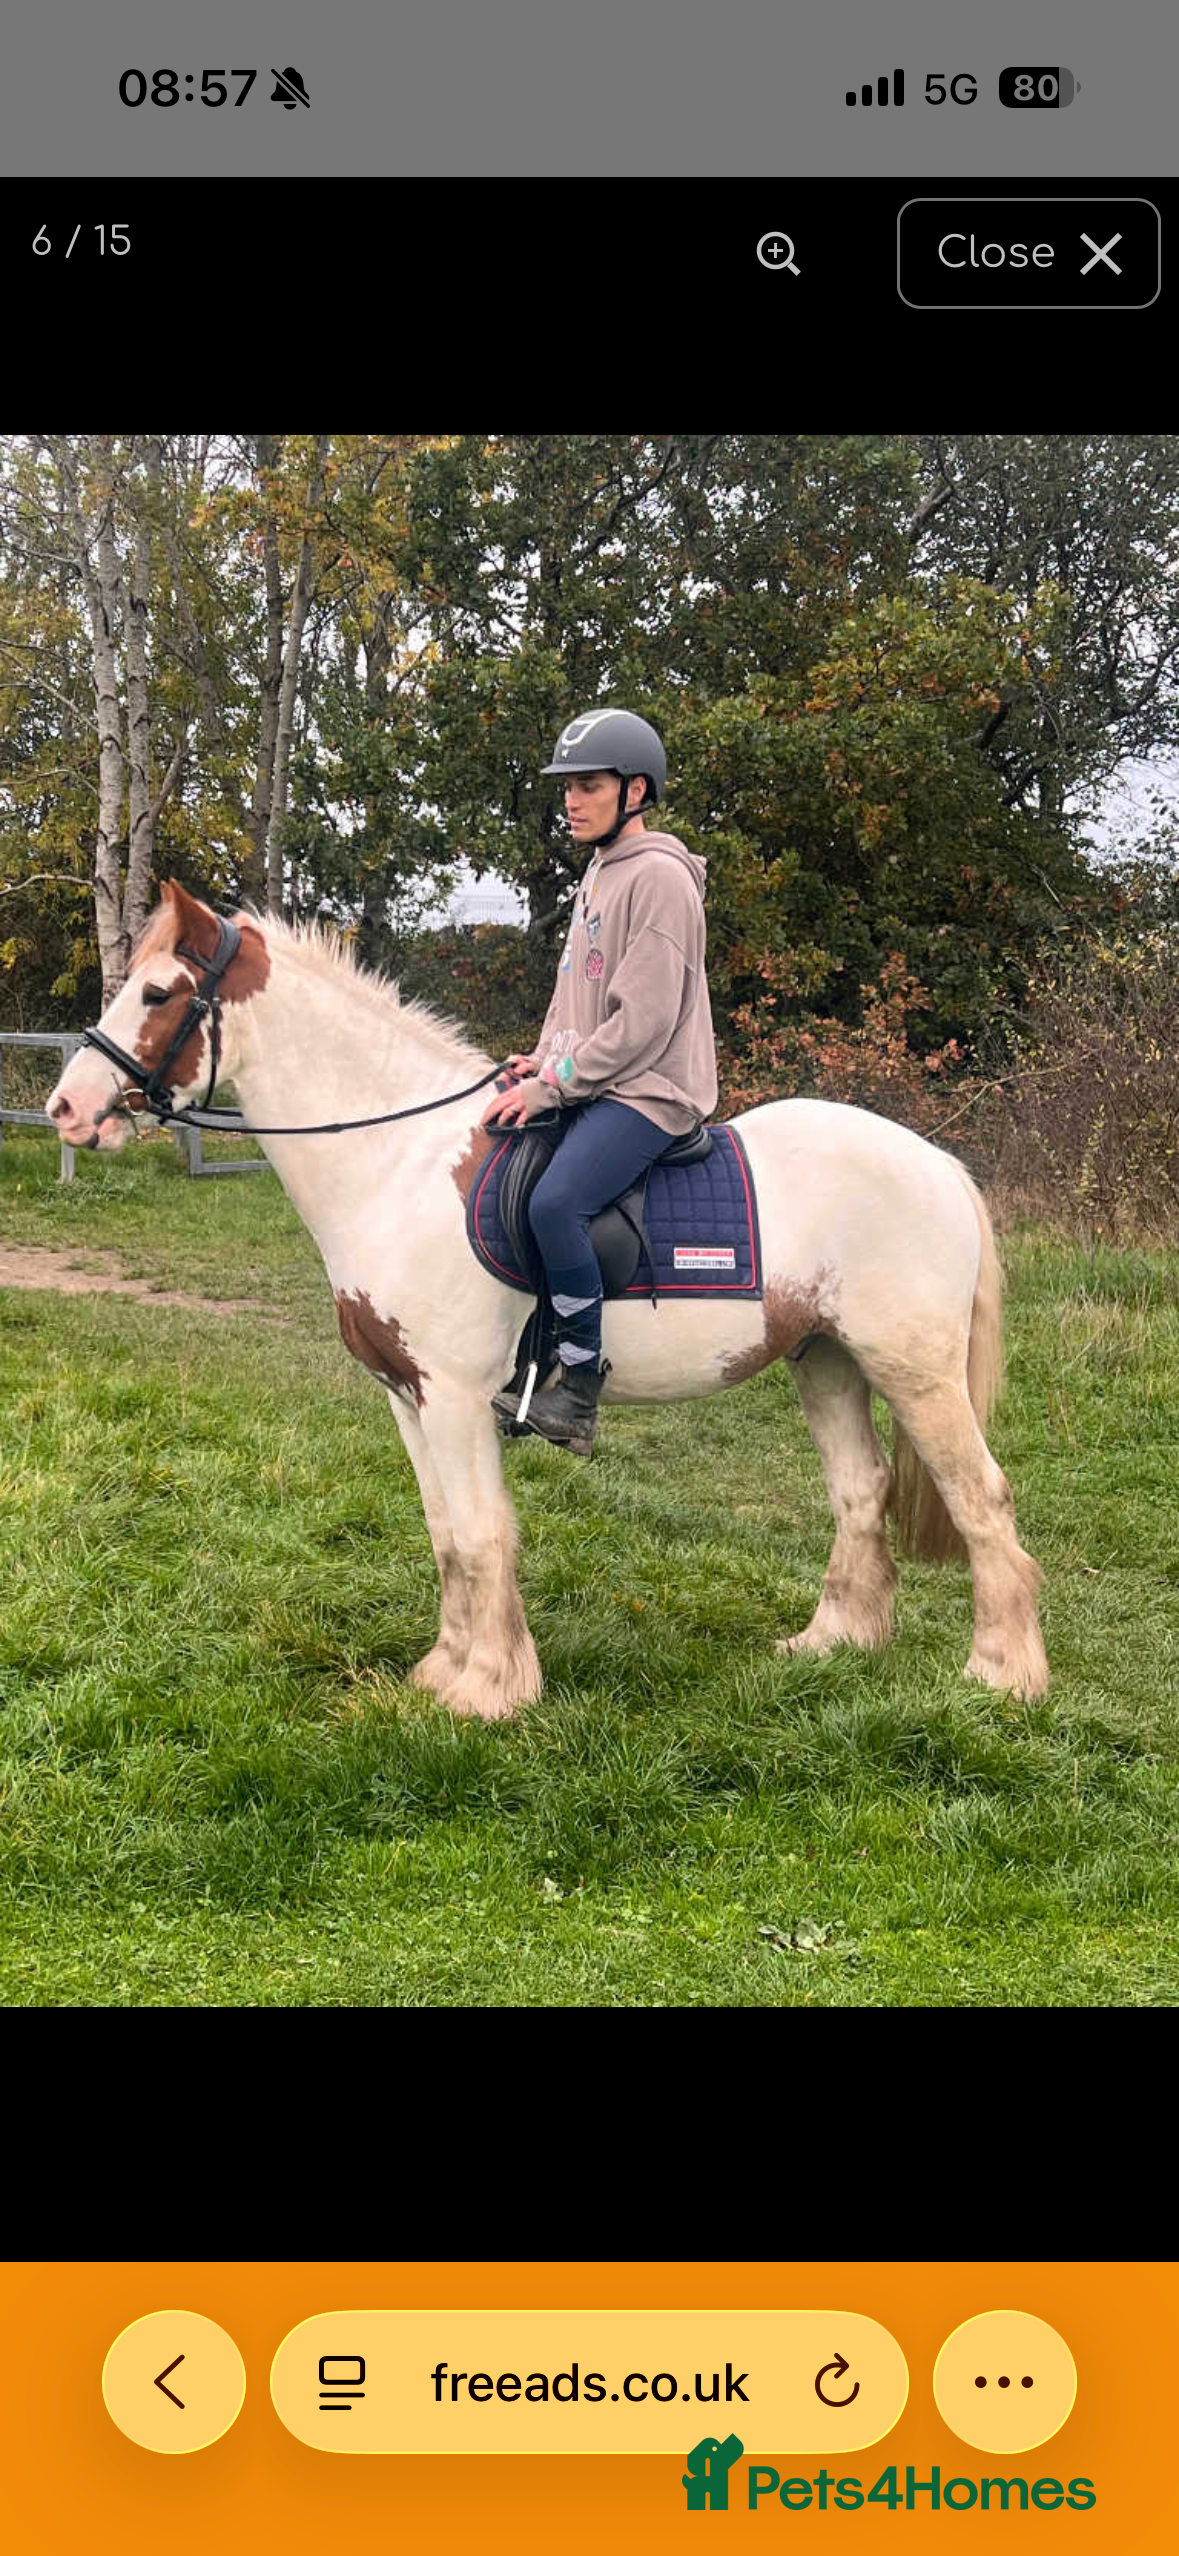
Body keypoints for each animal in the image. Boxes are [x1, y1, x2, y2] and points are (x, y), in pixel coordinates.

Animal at [46, 879, 1049, 1720]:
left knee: (981, 1497)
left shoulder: (455, 1397)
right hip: (827, 1361)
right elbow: (445, 1535)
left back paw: (1003, 1675)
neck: (397, 1164)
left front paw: (489, 1690)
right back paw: (834, 1643)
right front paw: (444, 1671)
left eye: (158, 994)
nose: (65, 1109)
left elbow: (483, 1535)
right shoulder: (406, 1396)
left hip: (913, 1370)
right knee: (859, 1490)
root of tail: (939, 1165)